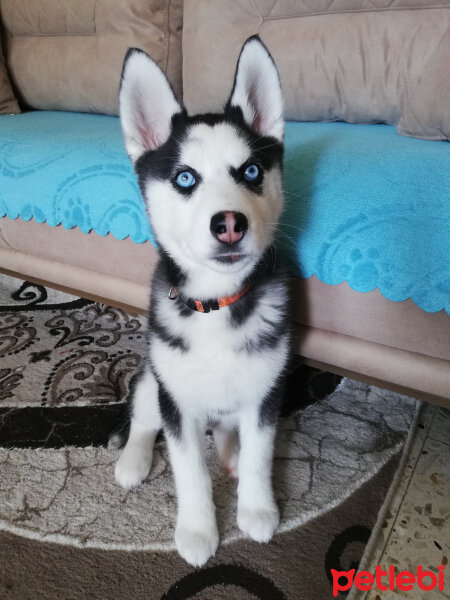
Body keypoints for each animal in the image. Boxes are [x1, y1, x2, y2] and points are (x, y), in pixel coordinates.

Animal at [115, 36, 292, 568]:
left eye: (251, 170)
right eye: (186, 179)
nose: (229, 223)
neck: (217, 304)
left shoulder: (267, 390)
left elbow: (260, 451)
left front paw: (256, 508)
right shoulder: (176, 400)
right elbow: (189, 468)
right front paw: (196, 530)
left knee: (231, 432)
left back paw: (230, 451)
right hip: (154, 377)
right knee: (142, 414)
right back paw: (133, 460)